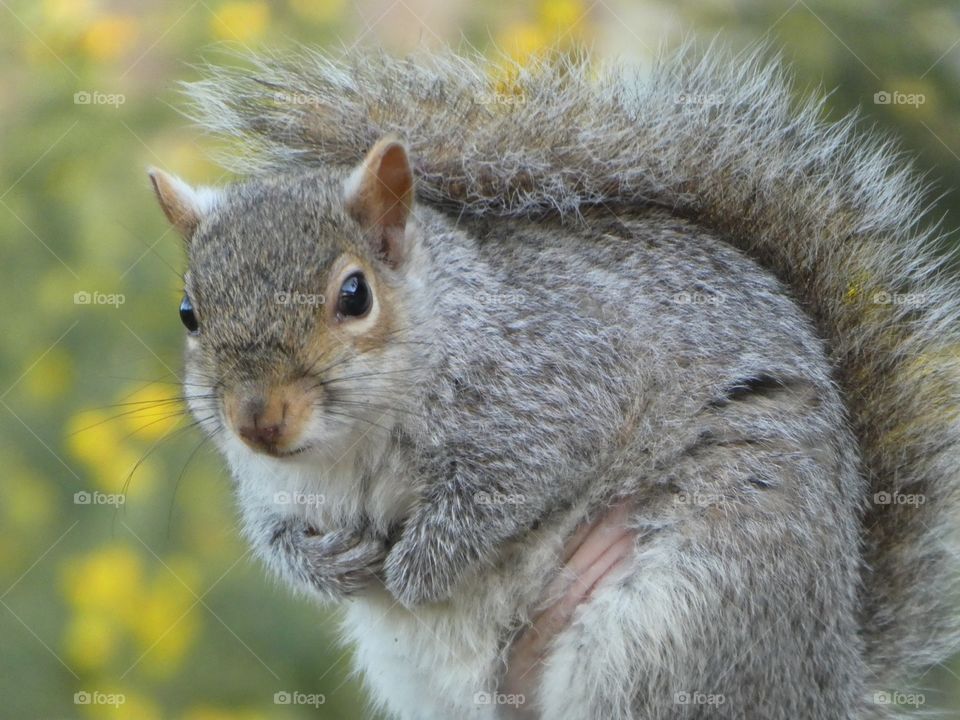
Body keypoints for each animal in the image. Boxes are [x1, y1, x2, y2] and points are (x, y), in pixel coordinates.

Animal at [146, 45, 960, 719]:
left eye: (354, 295)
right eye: (188, 312)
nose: (258, 419)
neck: (352, 444)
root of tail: (829, 680)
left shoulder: (560, 384)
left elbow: (503, 491)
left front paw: (416, 571)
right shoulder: (273, 484)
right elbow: (274, 532)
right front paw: (322, 564)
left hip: (680, 618)